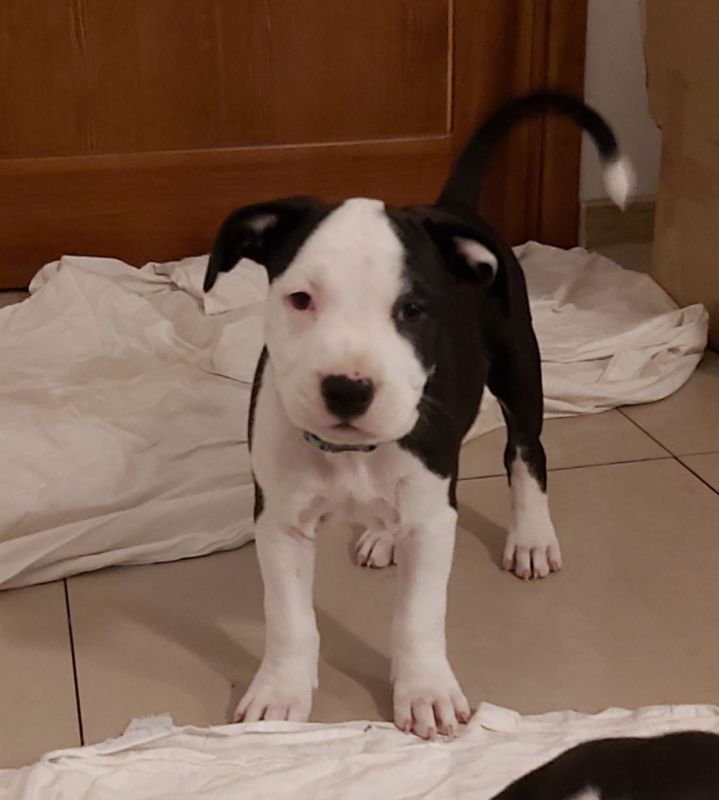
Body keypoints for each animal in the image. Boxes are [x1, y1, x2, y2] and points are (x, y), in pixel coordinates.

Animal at [203, 92, 634, 739]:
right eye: (300, 299)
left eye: (413, 309)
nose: (348, 389)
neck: (352, 453)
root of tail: (451, 210)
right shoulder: (280, 521)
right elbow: (288, 617)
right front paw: (280, 693)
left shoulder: (434, 520)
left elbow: (418, 616)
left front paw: (425, 690)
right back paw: (383, 534)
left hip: (518, 368)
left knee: (525, 452)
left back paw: (531, 537)